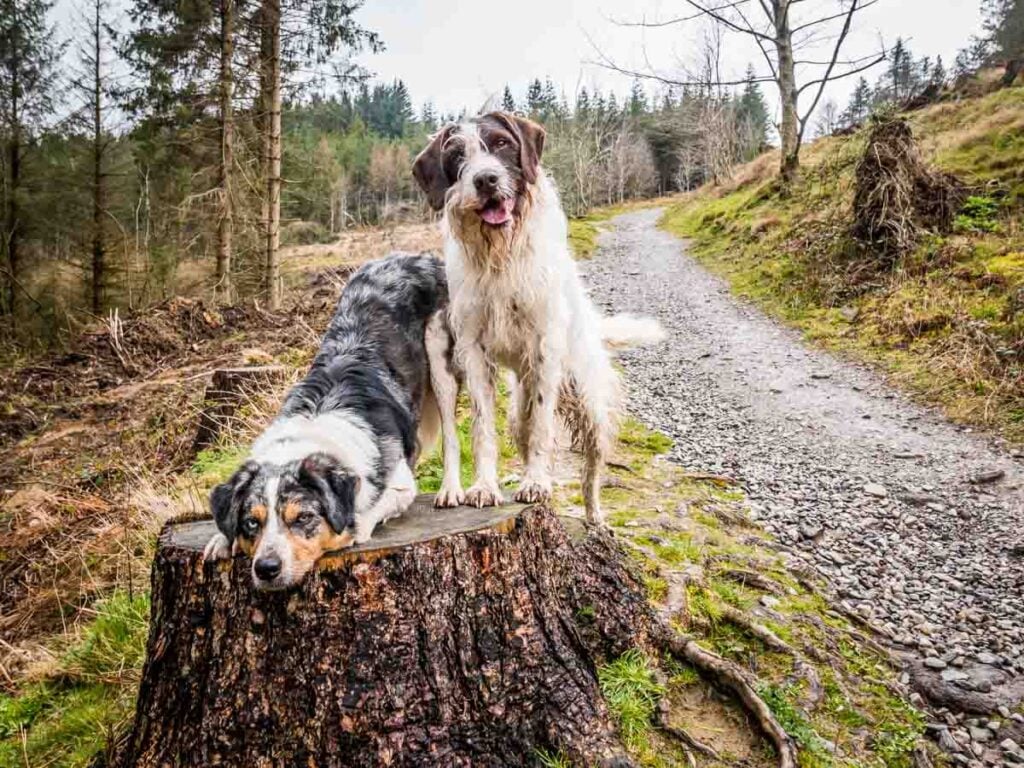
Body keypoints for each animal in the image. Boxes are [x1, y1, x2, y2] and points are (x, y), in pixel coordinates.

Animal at [411, 112, 659, 524]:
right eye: (457, 156)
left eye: (501, 144)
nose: (486, 180)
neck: (500, 256)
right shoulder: (473, 351)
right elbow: (482, 428)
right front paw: (485, 486)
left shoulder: (545, 347)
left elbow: (544, 428)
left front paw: (537, 483)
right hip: (511, 408)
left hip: (588, 400)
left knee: (591, 467)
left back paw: (594, 516)